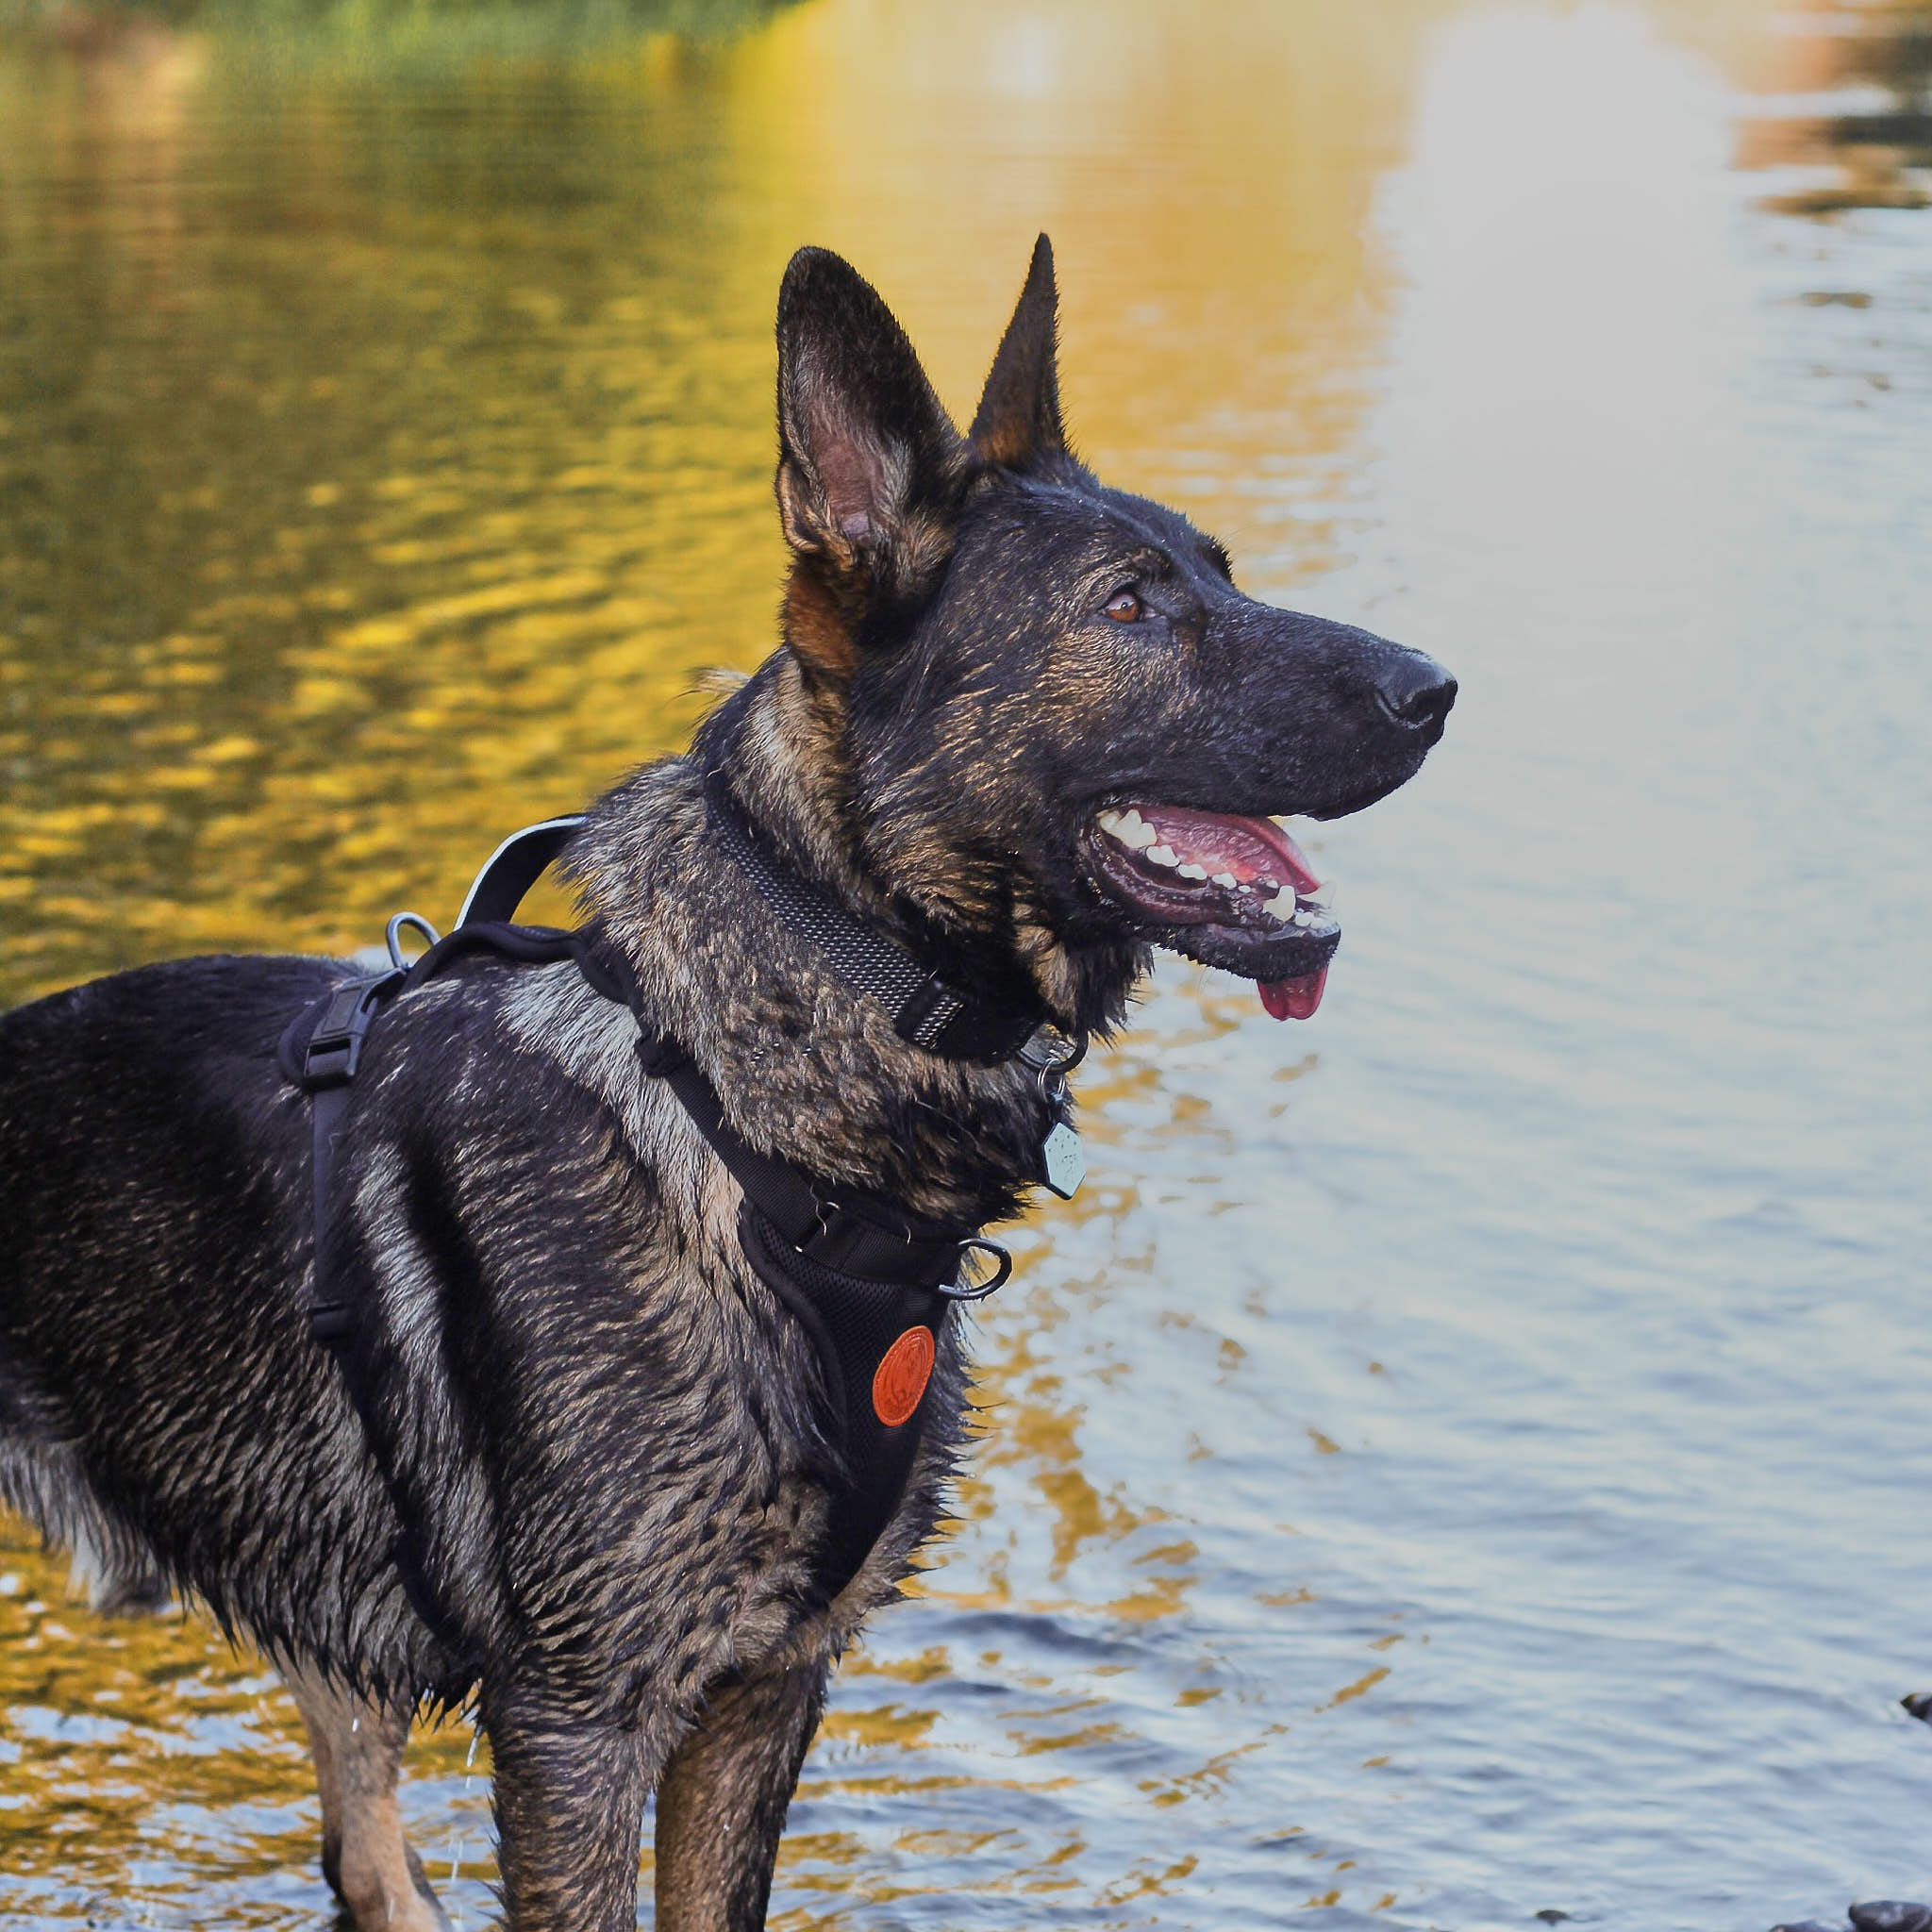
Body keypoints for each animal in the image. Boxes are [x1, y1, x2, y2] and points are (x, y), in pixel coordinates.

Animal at [0, 233, 1453, 1924]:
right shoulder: (577, 1732)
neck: (753, 1134)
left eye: (1217, 570)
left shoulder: (761, 1695)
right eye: (1130, 607)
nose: (1436, 688)